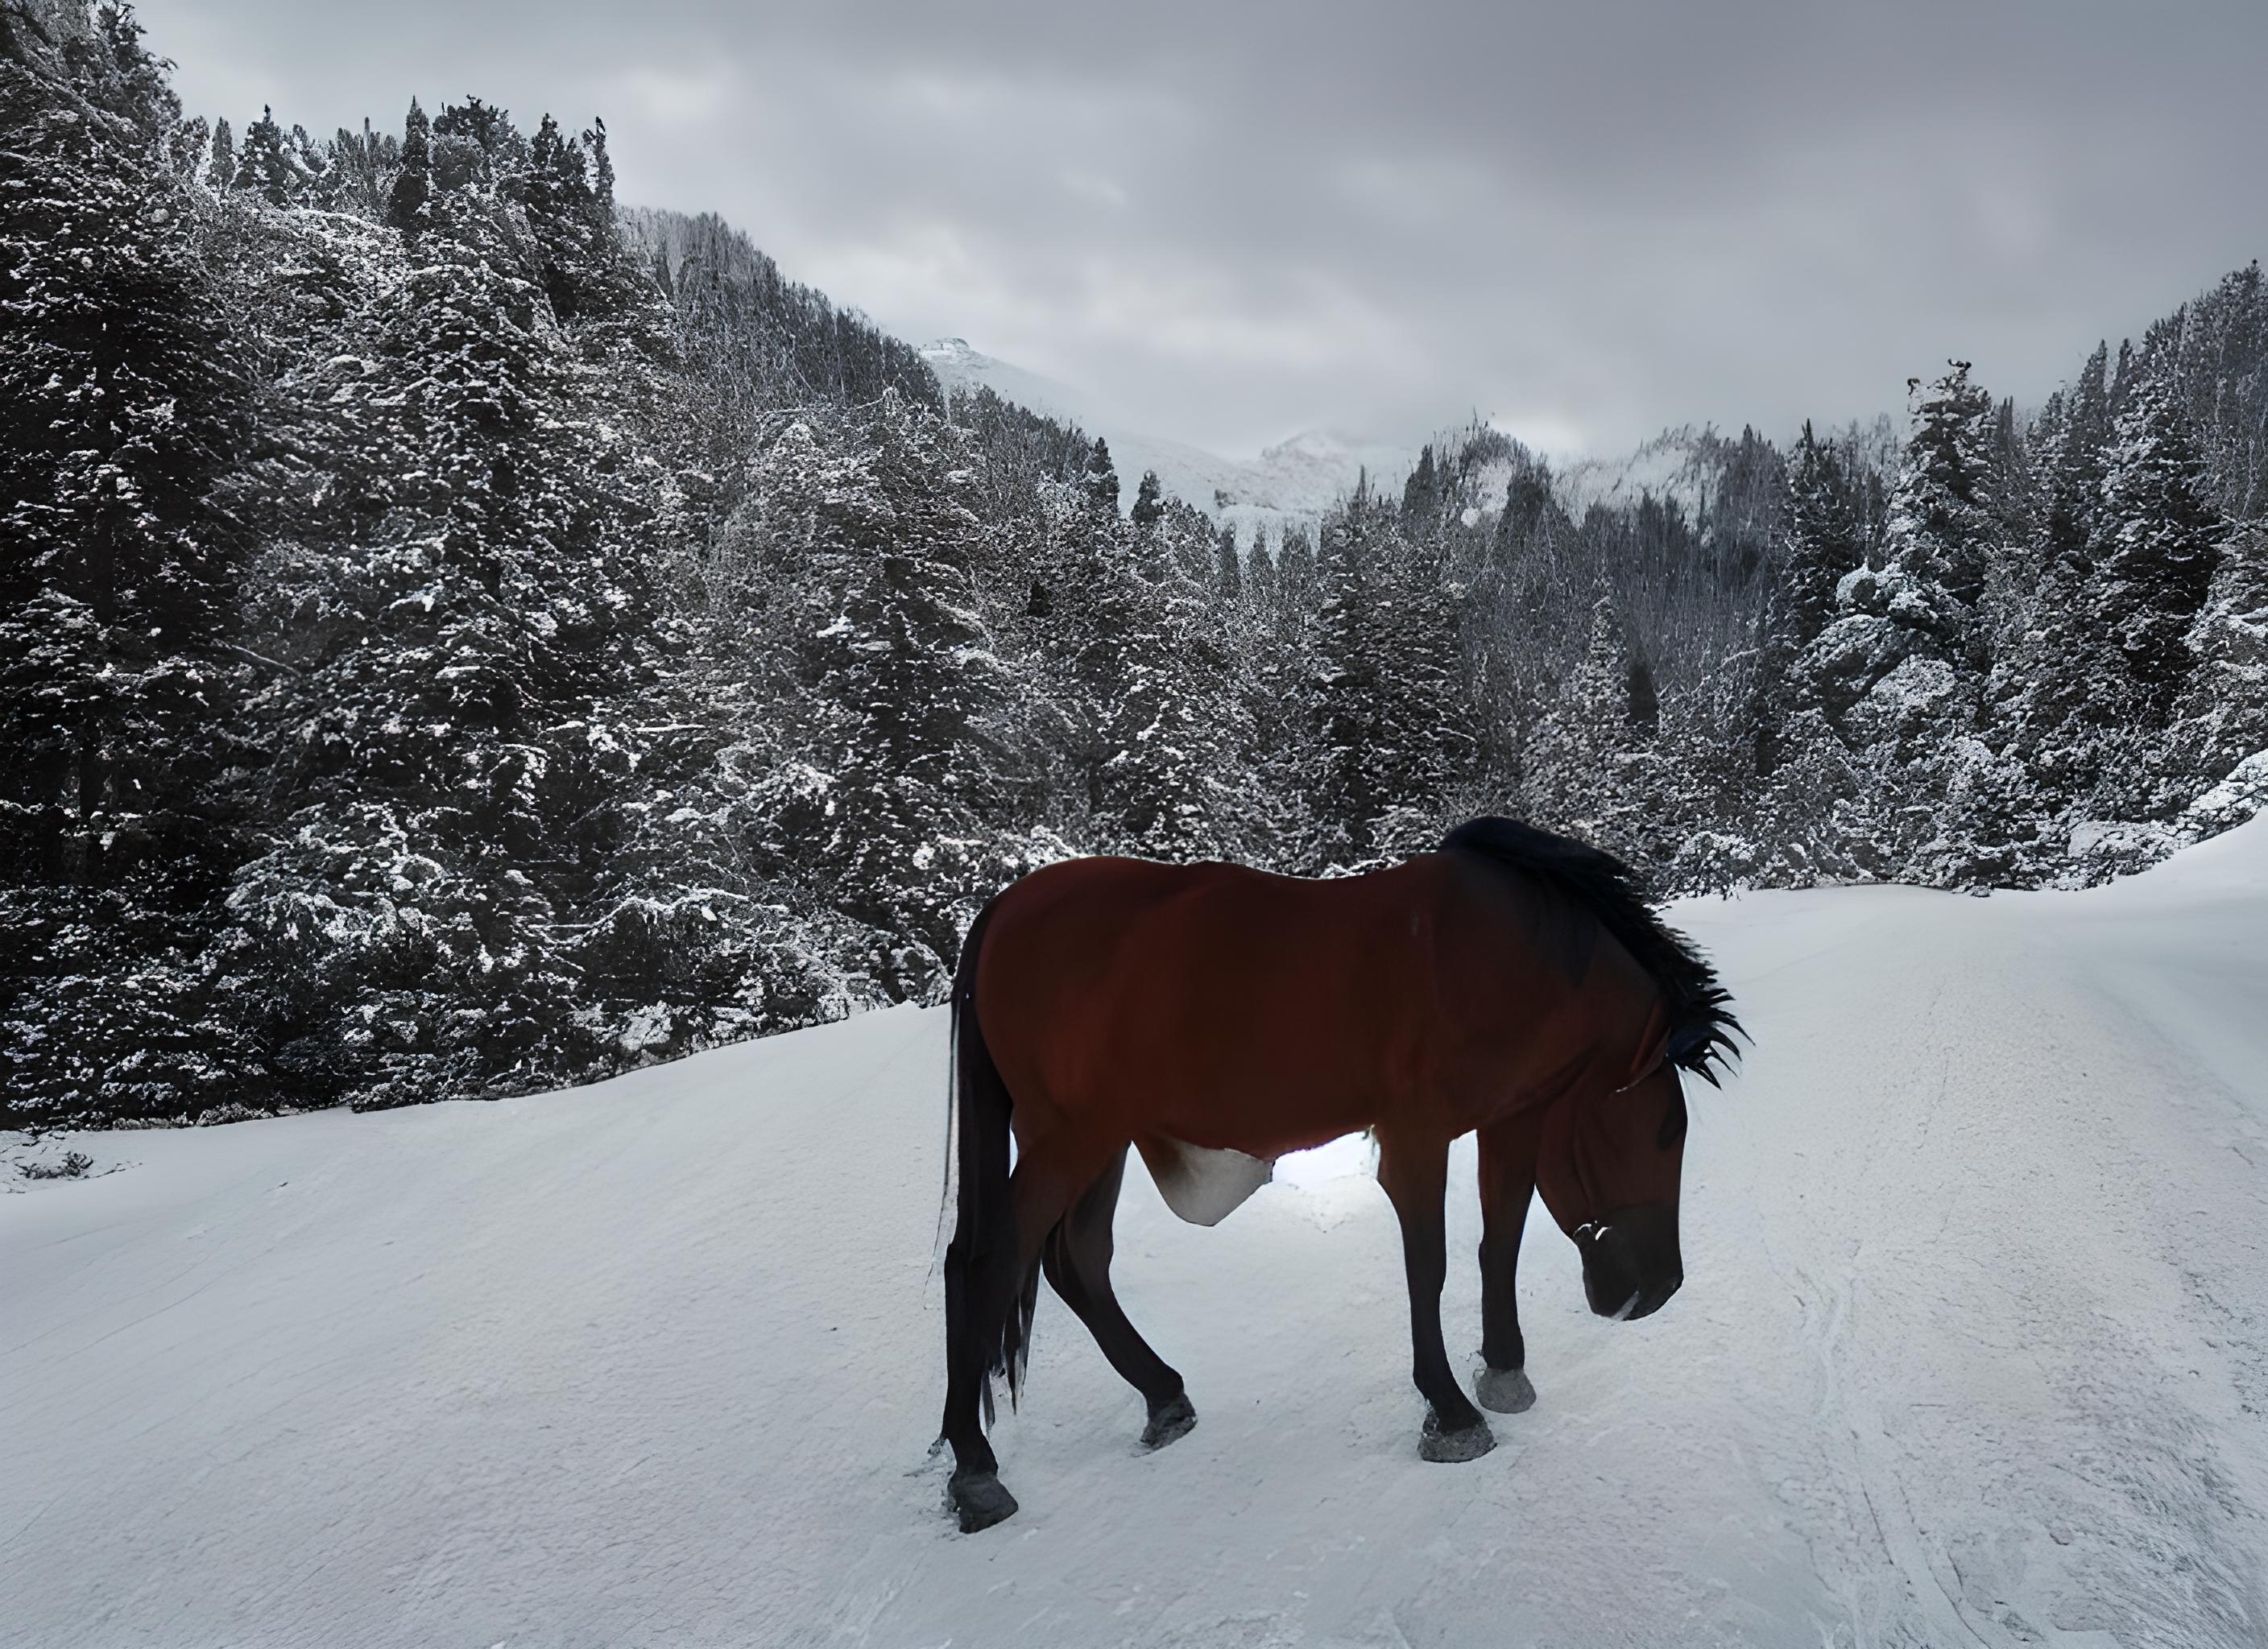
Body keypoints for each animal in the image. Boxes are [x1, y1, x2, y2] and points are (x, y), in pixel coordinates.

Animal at [934, 820, 1732, 1524]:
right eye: (1666, 1133)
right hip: (1068, 1136)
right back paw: (975, 1470)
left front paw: (1503, 1369)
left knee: (1076, 1261)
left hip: (1102, 1139)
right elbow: (1429, 1265)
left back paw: (1162, 1395)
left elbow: (1499, 1239)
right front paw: (1450, 1412)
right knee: (982, 1261)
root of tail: (1005, 908)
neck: (1504, 955)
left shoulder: (1515, 1118)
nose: (1662, 1286)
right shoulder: (1417, 1135)